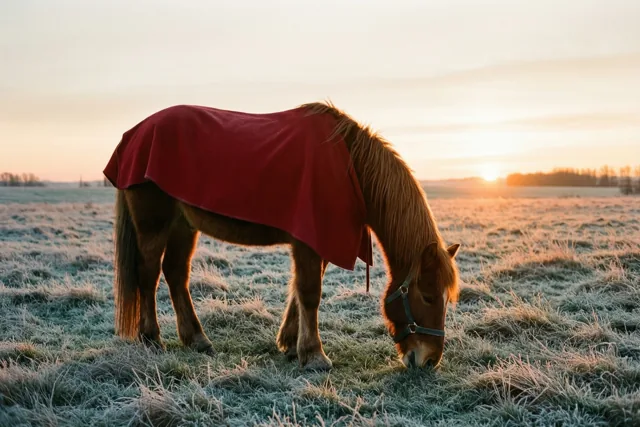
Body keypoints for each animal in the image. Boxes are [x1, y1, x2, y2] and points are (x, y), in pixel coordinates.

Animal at [106, 101, 461, 371]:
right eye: (428, 296)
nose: (429, 360)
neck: (351, 167)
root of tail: (134, 135)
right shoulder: (309, 240)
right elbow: (309, 292)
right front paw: (314, 355)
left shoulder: (316, 240)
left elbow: (299, 292)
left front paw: (291, 344)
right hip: (153, 224)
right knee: (148, 274)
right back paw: (151, 338)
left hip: (183, 224)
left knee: (176, 274)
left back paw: (197, 339)